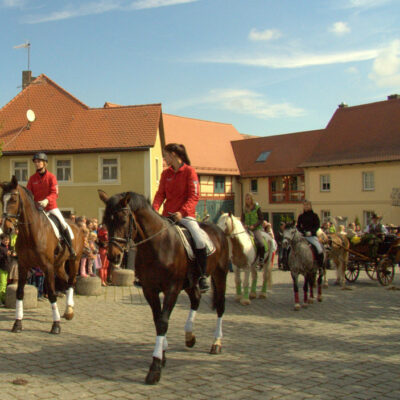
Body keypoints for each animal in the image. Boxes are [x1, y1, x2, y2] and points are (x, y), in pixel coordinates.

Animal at [0, 177, 85, 332]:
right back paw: (68, 310)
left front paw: (56, 325)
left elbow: (51, 293)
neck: (30, 233)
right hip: (58, 265)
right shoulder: (23, 266)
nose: (6, 228)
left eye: (14, 199)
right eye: (2, 200)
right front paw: (17, 323)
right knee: (66, 281)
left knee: (71, 282)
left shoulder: (47, 267)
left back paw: (69, 310)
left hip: (74, 261)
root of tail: (77, 226)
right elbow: (19, 292)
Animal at [99, 190, 230, 384]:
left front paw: (155, 367)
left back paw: (216, 343)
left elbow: (163, 322)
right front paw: (162, 354)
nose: (113, 256)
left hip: (220, 276)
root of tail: (219, 230)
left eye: (123, 220)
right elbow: (157, 320)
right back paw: (189, 336)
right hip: (190, 283)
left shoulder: (172, 289)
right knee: (196, 299)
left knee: (220, 306)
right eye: (106, 221)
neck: (157, 245)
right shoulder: (149, 290)